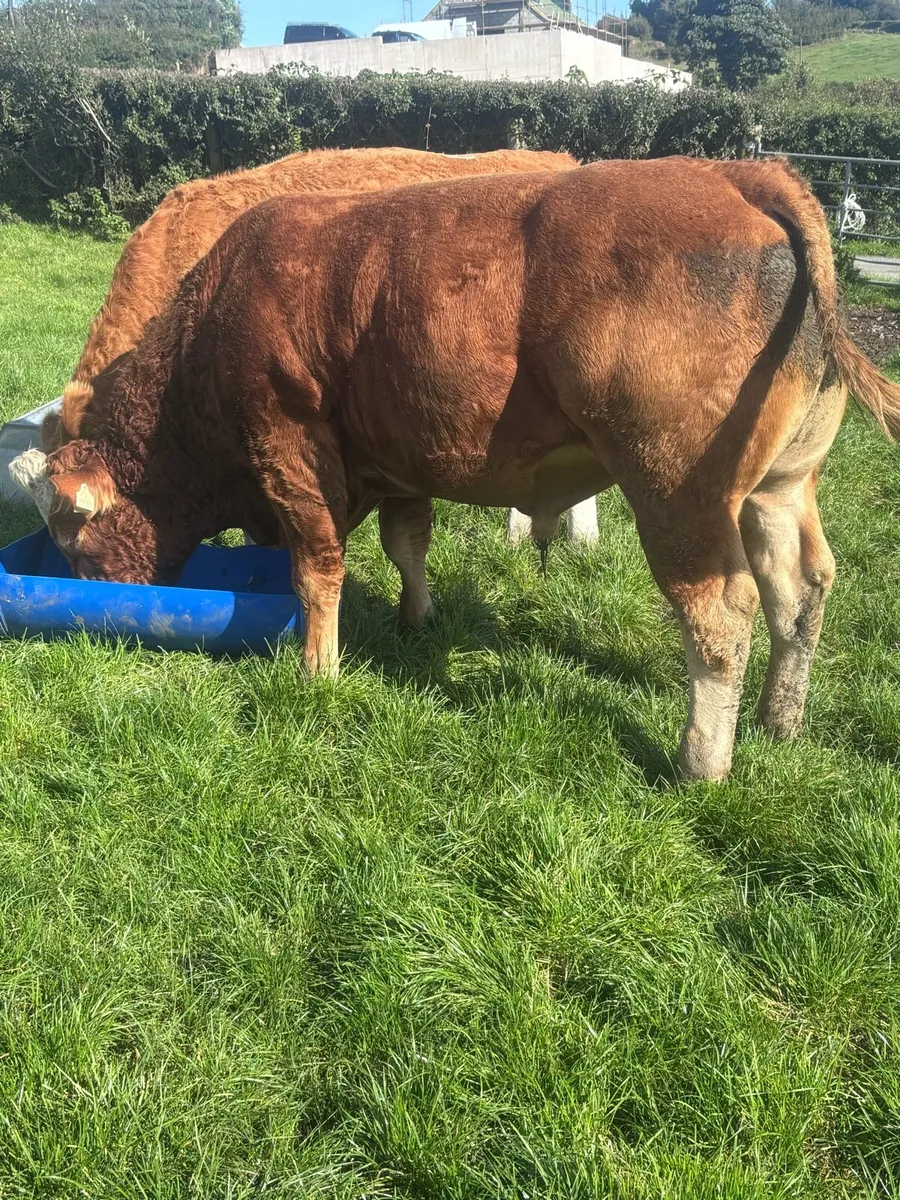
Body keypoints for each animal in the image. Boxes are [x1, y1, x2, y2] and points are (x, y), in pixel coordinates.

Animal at [12, 158, 900, 781]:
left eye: (73, 536)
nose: (95, 610)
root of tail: (737, 173)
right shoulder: (397, 461)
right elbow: (408, 543)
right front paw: (418, 619)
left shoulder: (290, 454)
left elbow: (316, 571)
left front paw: (318, 671)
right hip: (779, 488)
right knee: (800, 590)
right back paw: (780, 722)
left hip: (677, 494)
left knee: (721, 615)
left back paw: (701, 762)